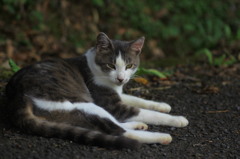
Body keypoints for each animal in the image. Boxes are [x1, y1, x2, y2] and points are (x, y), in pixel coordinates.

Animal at [5, 32, 188, 149]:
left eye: (129, 65)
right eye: (111, 65)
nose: (121, 78)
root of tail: (16, 97)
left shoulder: (117, 94)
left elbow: (138, 100)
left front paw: (163, 105)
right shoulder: (111, 104)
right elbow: (148, 113)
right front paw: (177, 119)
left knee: (109, 125)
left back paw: (138, 125)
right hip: (81, 103)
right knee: (117, 131)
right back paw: (161, 137)